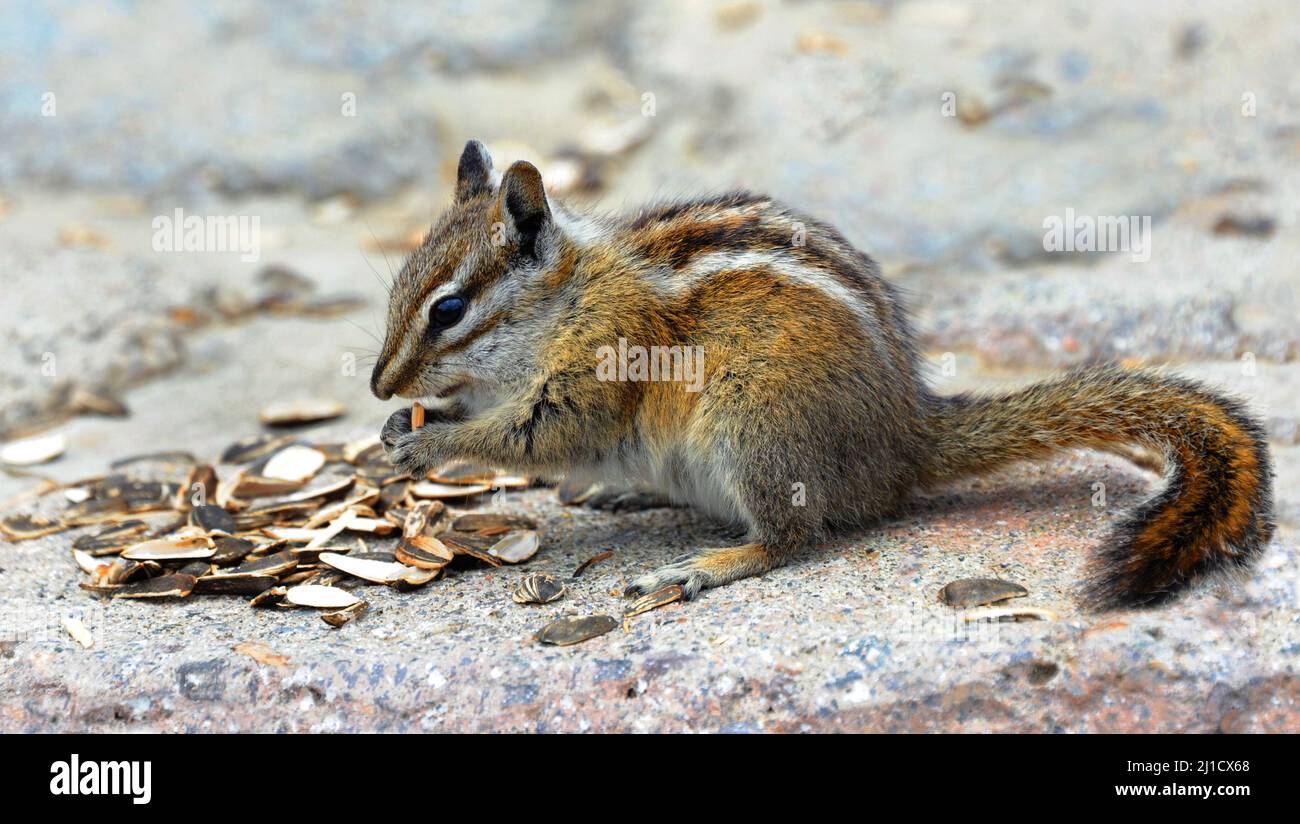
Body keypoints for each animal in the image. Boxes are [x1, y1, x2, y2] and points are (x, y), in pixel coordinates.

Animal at [372, 140, 1274, 608]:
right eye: (400, 286)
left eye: (447, 310)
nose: (381, 385)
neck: (569, 296)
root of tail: (909, 438)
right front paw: (403, 424)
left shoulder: (600, 364)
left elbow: (534, 434)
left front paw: (429, 443)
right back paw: (632, 496)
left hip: (753, 426)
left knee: (793, 537)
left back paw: (708, 565)